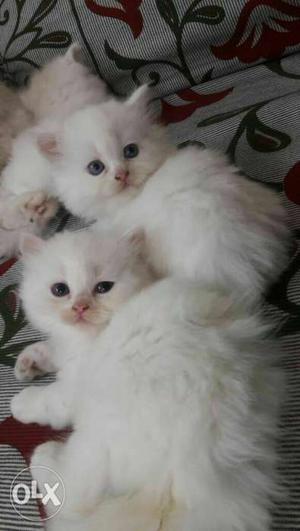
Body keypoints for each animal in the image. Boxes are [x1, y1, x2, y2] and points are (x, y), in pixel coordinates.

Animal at [17, 276, 282, 528]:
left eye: (101, 287)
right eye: (60, 289)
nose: (78, 307)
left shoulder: (74, 384)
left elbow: (47, 400)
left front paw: (19, 402)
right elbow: (50, 349)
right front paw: (27, 363)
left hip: (96, 436)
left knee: (74, 492)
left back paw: (44, 455)